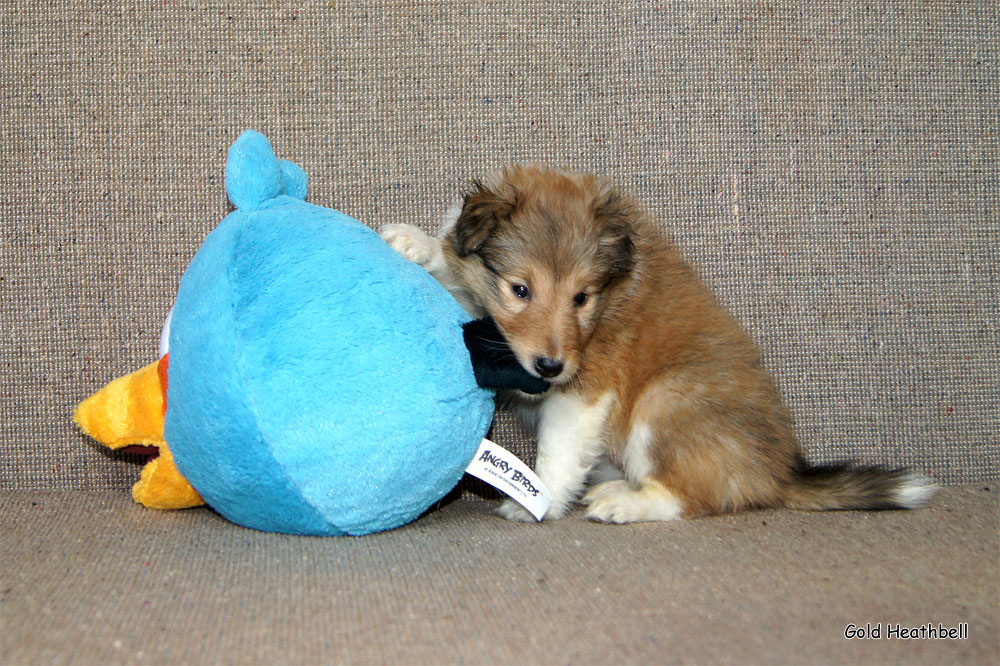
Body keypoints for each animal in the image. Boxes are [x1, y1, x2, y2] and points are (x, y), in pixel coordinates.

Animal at [380, 163, 936, 520]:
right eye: (520, 290)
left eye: (581, 297)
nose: (549, 367)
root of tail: (778, 477)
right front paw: (416, 243)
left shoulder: (586, 389)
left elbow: (557, 453)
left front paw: (539, 503)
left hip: (665, 401)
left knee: (694, 497)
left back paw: (623, 501)